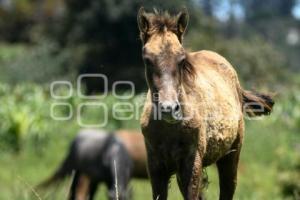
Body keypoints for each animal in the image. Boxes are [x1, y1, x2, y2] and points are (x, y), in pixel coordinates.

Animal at [138, 7, 274, 200]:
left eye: (182, 59)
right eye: (147, 59)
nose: (169, 109)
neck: (170, 129)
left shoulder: (192, 162)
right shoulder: (156, 166)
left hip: (231, 155)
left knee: (228, 189)